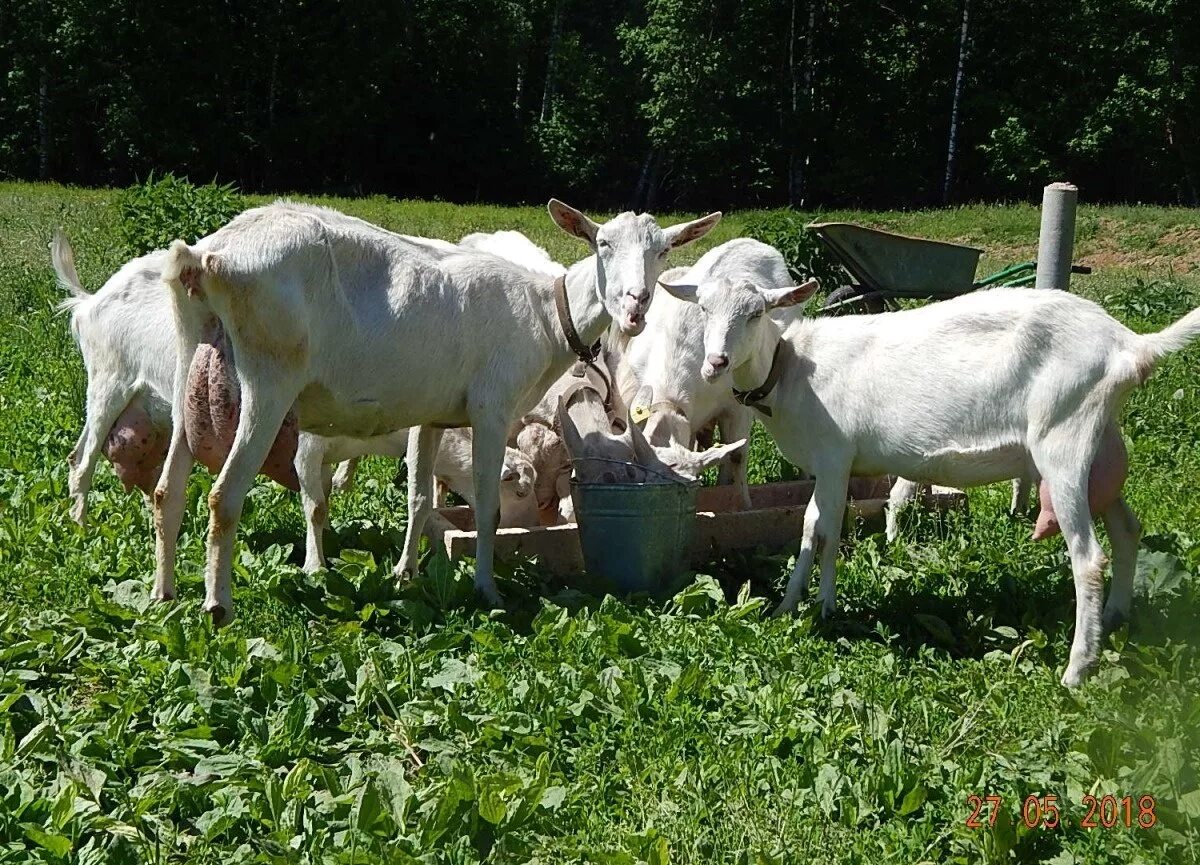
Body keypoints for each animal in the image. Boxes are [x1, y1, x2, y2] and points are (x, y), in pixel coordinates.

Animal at [159, 197, 720, 619]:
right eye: (602, 243)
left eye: (664, 249)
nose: (635, 304)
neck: (545, 312)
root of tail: (204, 257)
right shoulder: (492, 409)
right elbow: (489, 507)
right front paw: (487, 590)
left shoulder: (432, 416)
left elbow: (419, 500)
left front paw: (404, 574)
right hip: (269, 381)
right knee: (223, 495)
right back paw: (218, 608)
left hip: (187, 367)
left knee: (169, 489)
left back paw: (163, 595)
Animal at [662, 278, 1200, 686]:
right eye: (703, 308)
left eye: (756, 313)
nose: (716, 363)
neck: (789, 371)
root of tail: (1130, 346)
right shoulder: (833, 465)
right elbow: (819, 525)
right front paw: (800, 605)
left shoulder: (834, 455)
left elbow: (823, 529)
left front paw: (815, 607)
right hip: (1101, 442)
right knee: (1127, 529)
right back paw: (1116, 617)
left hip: (1063, 439)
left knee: (1089, 558)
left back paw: (1077, 668)